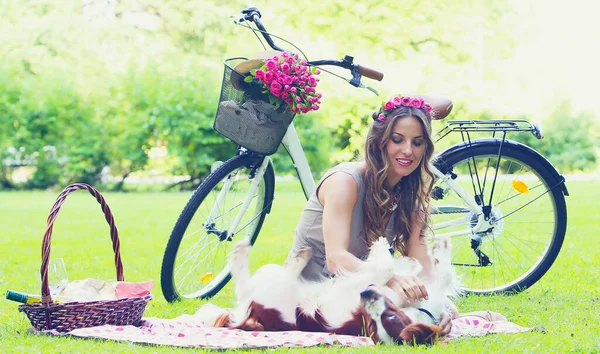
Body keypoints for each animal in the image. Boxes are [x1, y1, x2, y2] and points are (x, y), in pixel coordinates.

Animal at [197, 235, 460, 346]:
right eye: (371, 322)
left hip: (273, 282)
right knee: (244, 286)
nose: (366, 294)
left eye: (390, 319)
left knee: (245, 286)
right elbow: (437, 274)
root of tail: (255, 317)